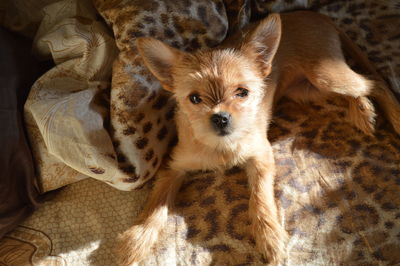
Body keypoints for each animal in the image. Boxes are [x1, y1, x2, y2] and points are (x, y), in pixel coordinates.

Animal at [118, 9, 400, 264]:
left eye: (242, 93)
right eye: (195, 98)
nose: (220, 117)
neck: (222, 146)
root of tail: (314, 14)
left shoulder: (261, 156)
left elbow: (260, 198)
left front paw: (269, 238)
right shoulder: (174, 168)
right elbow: (155, 206)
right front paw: (136, 243)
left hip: (325, 75)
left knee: (375, 82)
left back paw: (391, 115)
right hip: (308, 89)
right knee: (358, 88)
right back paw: (362, 111)